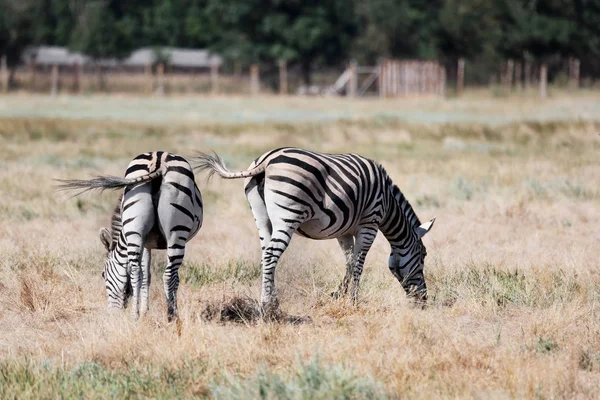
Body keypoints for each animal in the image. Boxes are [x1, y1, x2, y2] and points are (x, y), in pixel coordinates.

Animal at [58, 152, 204, 320]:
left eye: (103, 274)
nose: (112, 314)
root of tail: (159, 160)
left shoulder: (145, 242)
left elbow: (145, 276)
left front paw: (143, 312)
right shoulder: (146, 243)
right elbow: (148, 276)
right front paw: (145, 312)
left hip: (146, 231)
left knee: (142, 273)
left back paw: (150, 316)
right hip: (172, 231)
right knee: (164, 274)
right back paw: (169, 317)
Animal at [195, 148, 434, 316]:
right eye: (423, 256)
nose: (423, 301)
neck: (387, 202)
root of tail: (266, 160)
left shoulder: (344, 231)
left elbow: (349, 261)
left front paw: (338, 294)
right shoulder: (370, 223)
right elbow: (358, 263)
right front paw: (353, 300)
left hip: (261, 216)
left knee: (265, 254)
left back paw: (271, 301)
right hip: (288, 215)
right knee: (271, 254)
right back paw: (268, 306)